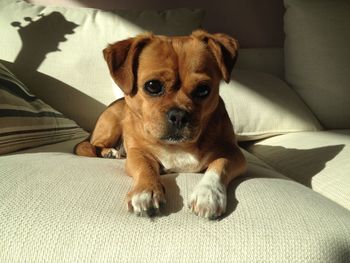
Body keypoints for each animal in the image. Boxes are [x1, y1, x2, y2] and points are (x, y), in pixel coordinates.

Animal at [75, 29, 247, 220]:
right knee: (92, 145)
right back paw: (108, 152)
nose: (179, 115)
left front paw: (208, 194)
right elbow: (145, 168)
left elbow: (219, 165)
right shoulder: (137, 153)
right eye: (152, 86)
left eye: (203, 90)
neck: (178, 146)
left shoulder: (233, 153)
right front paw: (146, 190)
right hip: (111, 126)